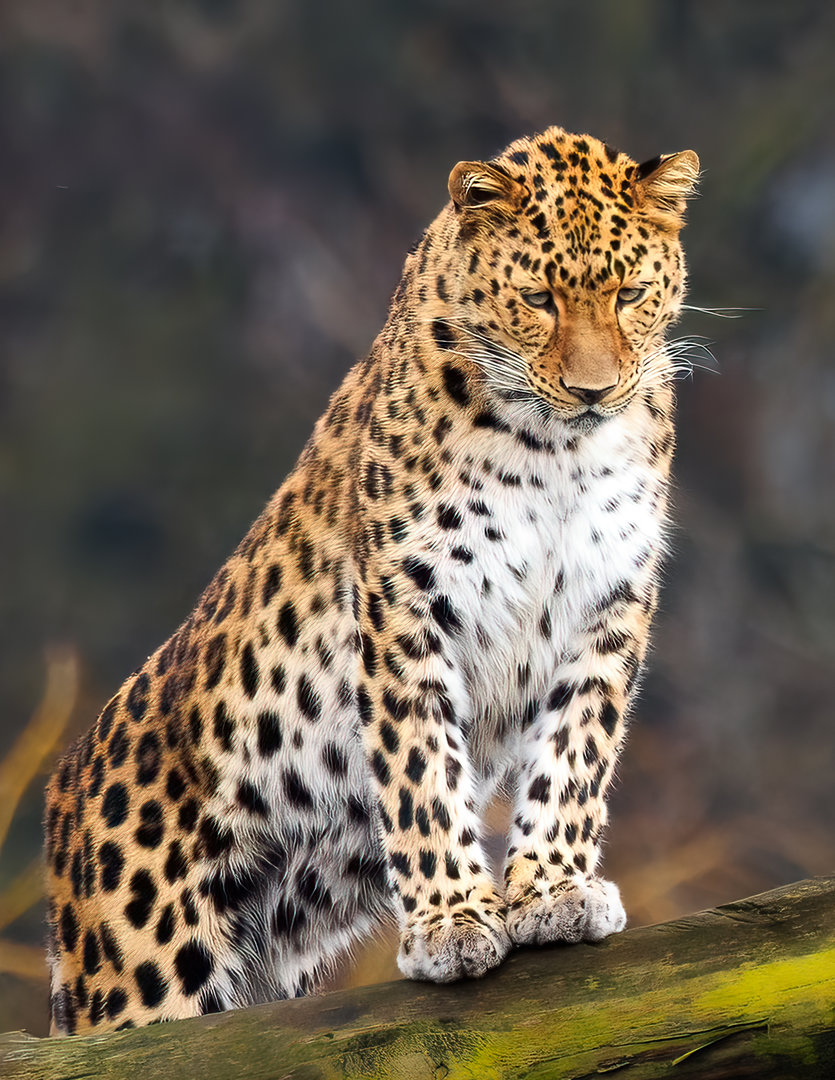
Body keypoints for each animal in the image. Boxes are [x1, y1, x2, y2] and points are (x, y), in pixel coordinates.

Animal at [44, 125, 699, 1034]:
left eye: (631, 293)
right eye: (537, 299)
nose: (593, 390)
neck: (557, 450)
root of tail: (63, 800)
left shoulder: (609, 602)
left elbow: (576, 750)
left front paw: (554, 889)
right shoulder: (408, 601)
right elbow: (421, 767)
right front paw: (454, 921)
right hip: (142, 982)